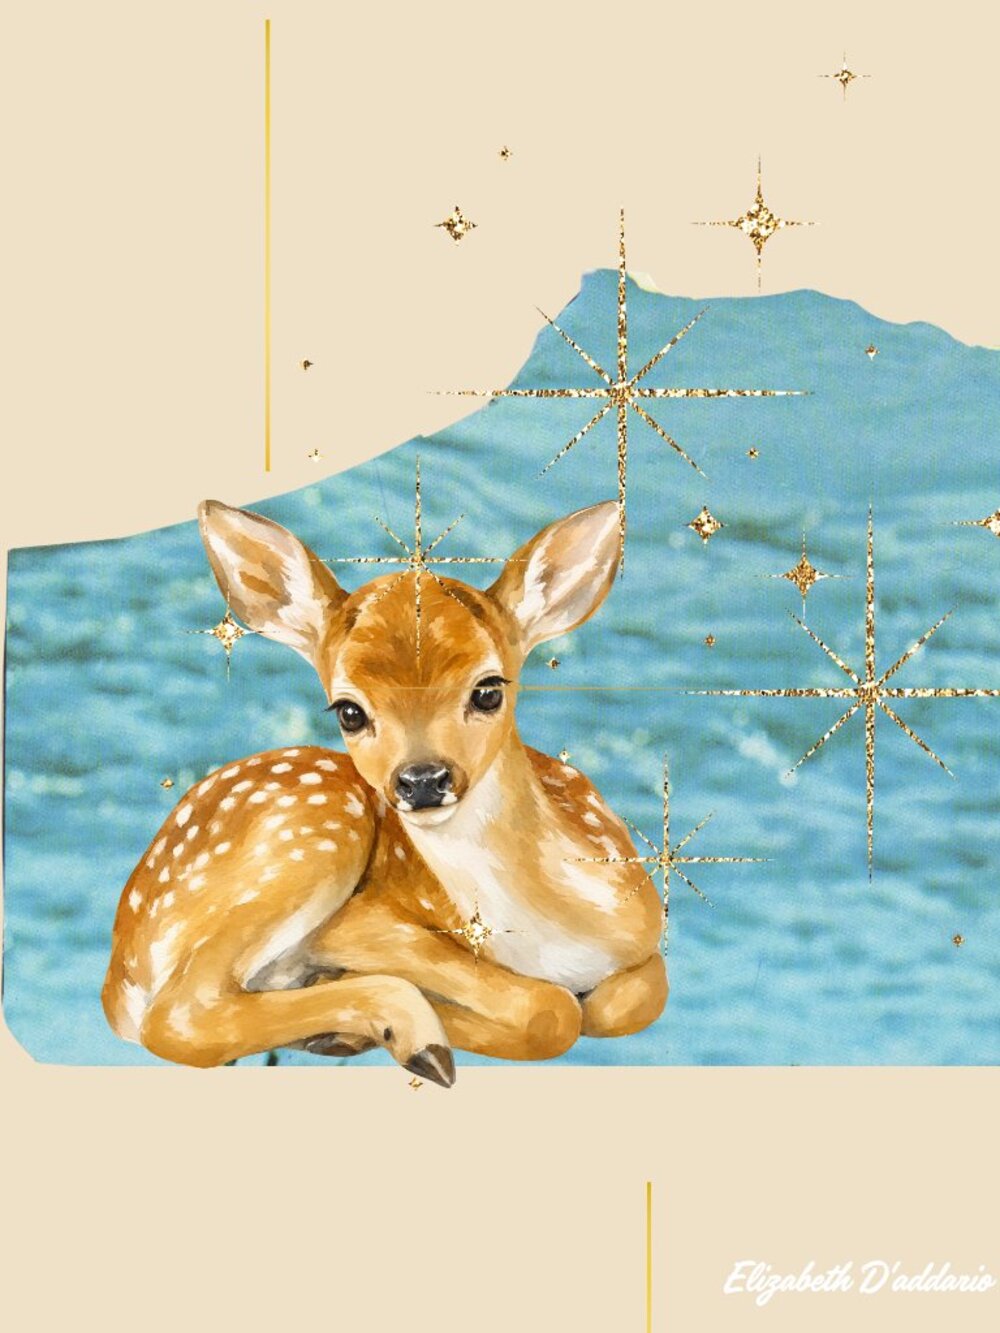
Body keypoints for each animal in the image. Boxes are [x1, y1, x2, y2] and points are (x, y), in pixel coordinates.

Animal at [102, 496, 667, 1086]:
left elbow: (623, 1003)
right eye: (349, 711)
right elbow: (551, 1012)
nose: (422, 780)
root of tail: (121, 969)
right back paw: (407, 1037)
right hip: (315, 833)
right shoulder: (356, 923)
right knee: (178, 1018)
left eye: (489, 690)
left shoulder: (646, 943)